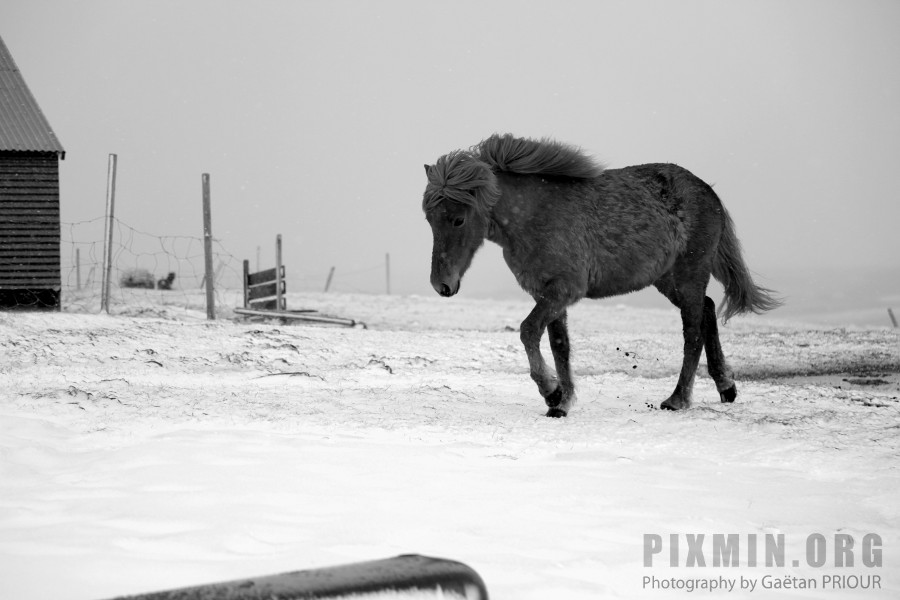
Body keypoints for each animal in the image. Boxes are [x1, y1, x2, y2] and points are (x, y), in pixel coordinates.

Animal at [422, 134, 780, 418]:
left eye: (458, 219)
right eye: (429, 219)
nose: (442, 285)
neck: (534, 215)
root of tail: (708, 192)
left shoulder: (562, 291)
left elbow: (528, 332)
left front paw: (551, 391)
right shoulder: (547, 294)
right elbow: (559, 345)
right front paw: (561, 403)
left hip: (689, 274)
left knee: (692, 333)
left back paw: (677, 400)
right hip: (669, 280)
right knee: (706, 311)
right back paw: (726, 386)